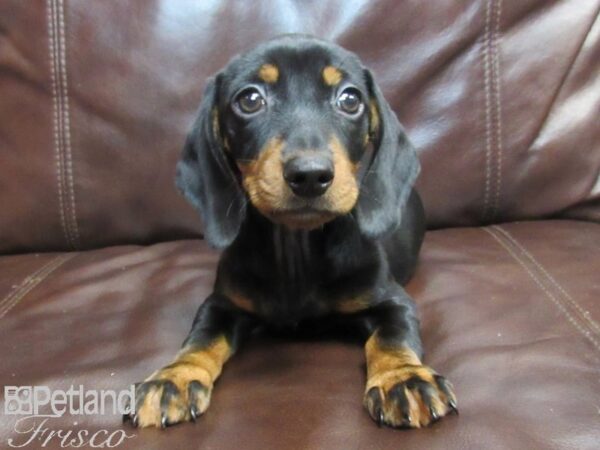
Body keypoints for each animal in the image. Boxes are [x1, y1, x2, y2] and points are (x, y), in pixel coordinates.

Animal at [124, 34, 458, 428]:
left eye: (350, 99)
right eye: (250, 99)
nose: (310, 175)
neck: (297, 248)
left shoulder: (393, 301)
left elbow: (391, 338)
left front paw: (403, 379)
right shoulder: (221, 304)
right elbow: (200, 339)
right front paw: (174, 377)